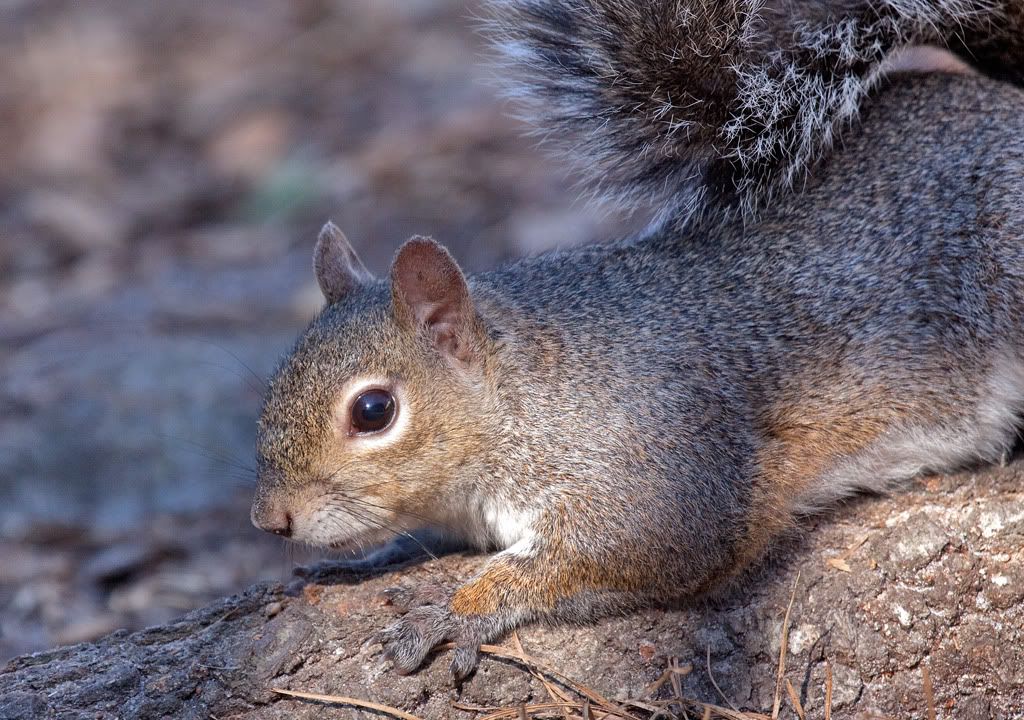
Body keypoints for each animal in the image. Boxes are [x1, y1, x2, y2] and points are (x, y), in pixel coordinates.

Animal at [250, 0, 1024, 680]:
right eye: (274, 384)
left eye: (373, 411)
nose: (270, 519)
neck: (525, 394)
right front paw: (362, 562)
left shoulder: (655, 476)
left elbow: (604, 556)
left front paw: (457, 609)